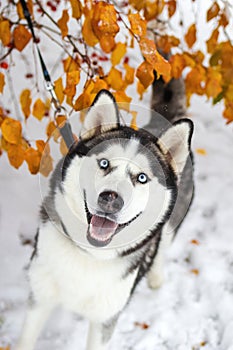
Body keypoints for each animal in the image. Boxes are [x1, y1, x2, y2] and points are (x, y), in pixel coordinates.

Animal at [15, 86, 193, 348]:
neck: (90, 254)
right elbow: (25, 339)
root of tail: (162, 120)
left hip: (174, 219)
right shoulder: (40, 296)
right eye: (104, 163)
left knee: (163, 244)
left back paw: (156, 276)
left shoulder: (106, 318)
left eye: (141, 178)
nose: (111, 199)